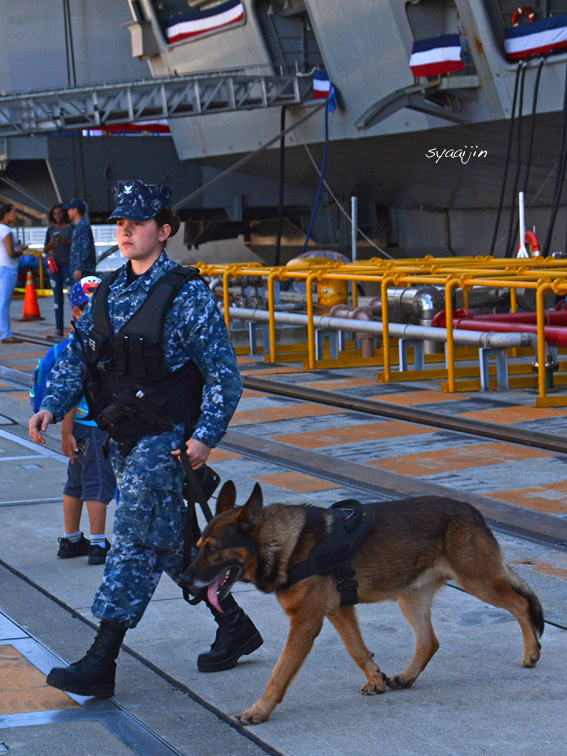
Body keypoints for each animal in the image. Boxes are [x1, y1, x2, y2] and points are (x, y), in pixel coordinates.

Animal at [183, 482, 544, 724]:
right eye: (198, 546)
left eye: (213, 549)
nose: (185, 582)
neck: (280, 543)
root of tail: (472, 510)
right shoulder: (339, 611)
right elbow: (357, 649)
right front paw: (376, 679)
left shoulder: (305, 624)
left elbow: (279, 673)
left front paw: (258, 710)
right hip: (410, 598)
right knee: (429, 641)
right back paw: (407, 677)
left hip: (479, 582)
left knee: (521, 605)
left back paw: (531, 651)